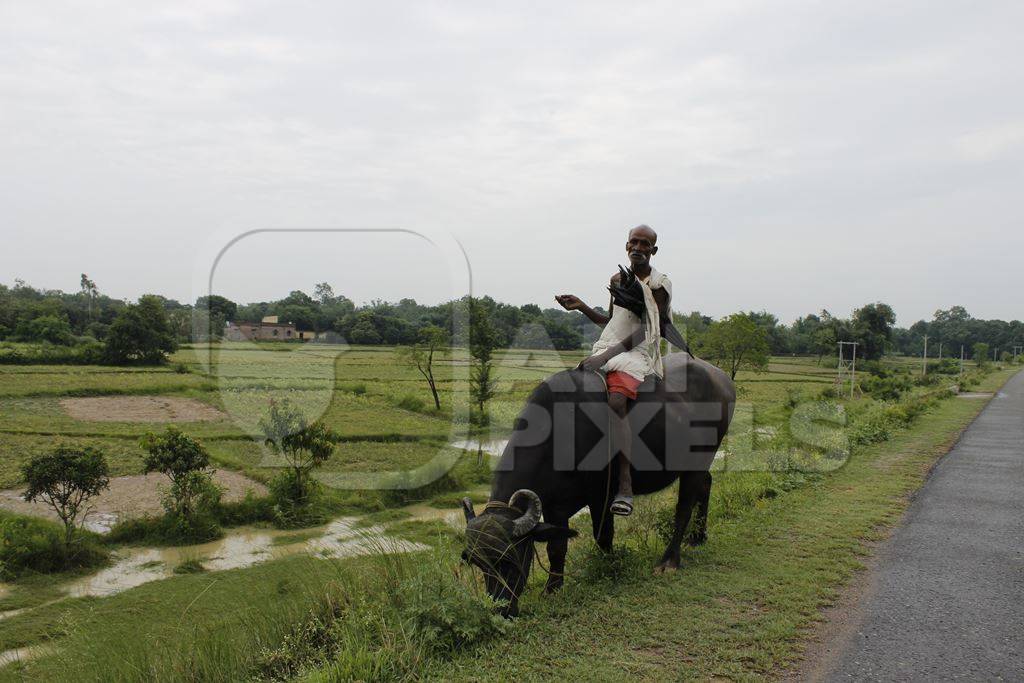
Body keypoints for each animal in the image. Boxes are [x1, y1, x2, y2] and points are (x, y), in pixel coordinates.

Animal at [462, 356, 737, 618]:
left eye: (509, 559)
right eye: (479, 564)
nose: (501, 609)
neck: (560, 434)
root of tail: (723, 379)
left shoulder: (600, 497)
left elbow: (603, 536)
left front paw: (608, 568)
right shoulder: (553, 505)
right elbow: (556, 548)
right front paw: (553, 588)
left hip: (699, 459)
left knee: (684, 507)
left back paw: (669, 560)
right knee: (706, 485)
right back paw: (697, 537)